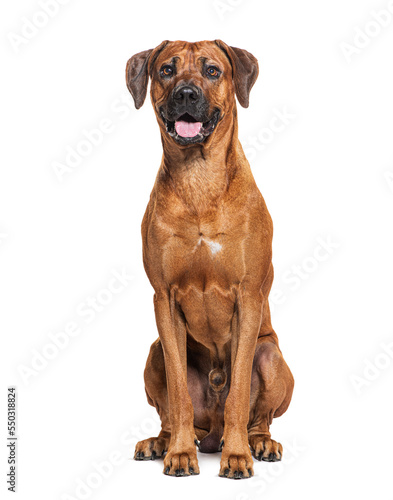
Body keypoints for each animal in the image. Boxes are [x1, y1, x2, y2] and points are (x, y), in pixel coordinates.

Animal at [125, 38, 294, 476]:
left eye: (212, 71)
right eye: (166, 70)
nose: (187, 94)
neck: (198, 179)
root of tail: (212, 433)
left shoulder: (248, 296)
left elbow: (238, 393)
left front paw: (238, 456)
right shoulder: (164, 298)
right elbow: (179, 393)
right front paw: (180, 452)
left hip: (271, 355)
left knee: (258, 415)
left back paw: (259, 443)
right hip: (154, 352)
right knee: (169, 409)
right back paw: (162, 442)